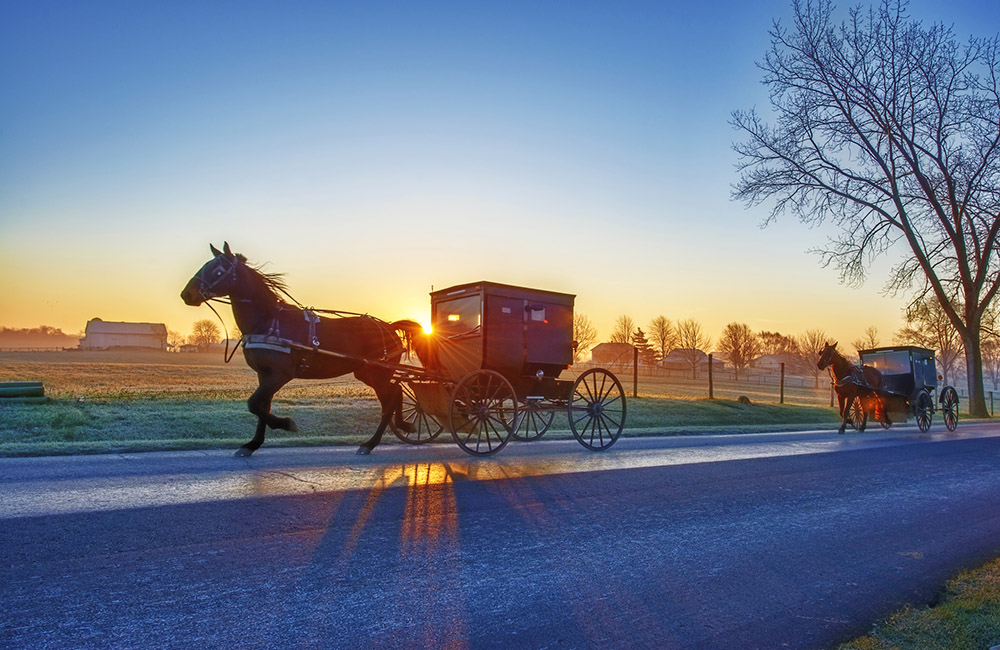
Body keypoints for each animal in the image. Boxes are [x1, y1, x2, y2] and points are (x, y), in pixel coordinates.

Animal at [180, 243, 422, 456]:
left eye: (217, 269)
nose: (186, 294)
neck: (269, 322)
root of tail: (389, 326)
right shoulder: (264, 374)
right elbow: (261, 407)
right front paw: (252, 444)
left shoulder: (281, 374)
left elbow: (254, 404)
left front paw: (286, 424)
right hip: (367, 373)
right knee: (396, 393)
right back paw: (403, 425)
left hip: (378, 373)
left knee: (390, 399)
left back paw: (371, 442)